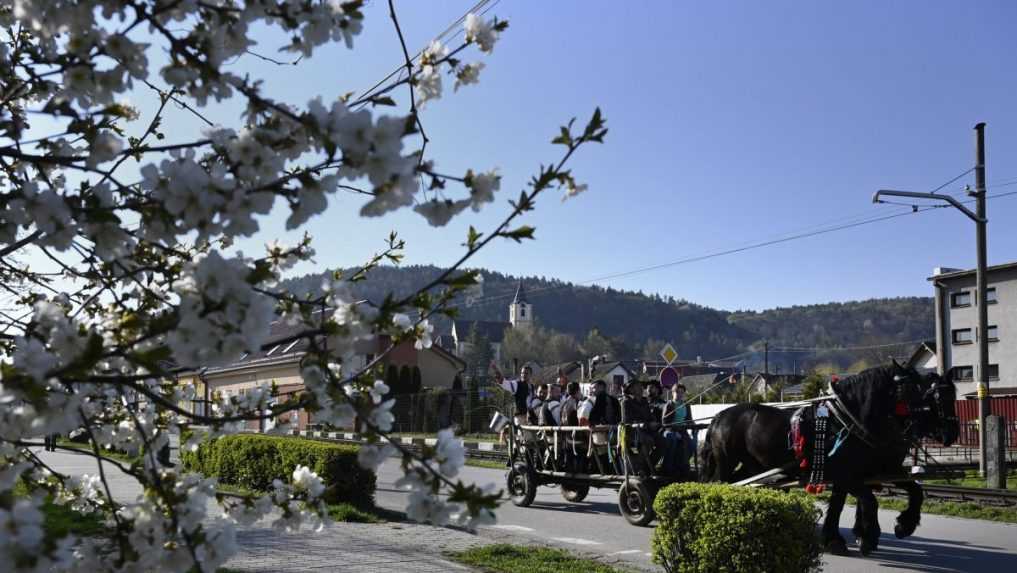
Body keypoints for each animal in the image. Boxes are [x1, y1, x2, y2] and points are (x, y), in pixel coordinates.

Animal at [703, 362, 955, 557]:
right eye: (916, 390)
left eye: (951, 394)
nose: (950, 433)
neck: (848, 420)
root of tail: (719, 416)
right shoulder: (848, 475)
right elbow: (868, 501)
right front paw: (868, 537)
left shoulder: (875, 470)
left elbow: (913, 491)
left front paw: (903, 525)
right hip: (727, 461)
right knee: (719, 483)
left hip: (750, 466)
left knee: (738, 483)